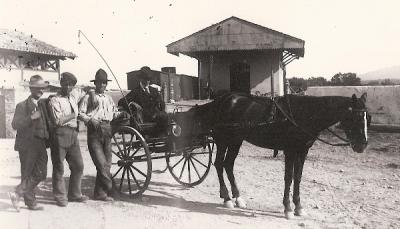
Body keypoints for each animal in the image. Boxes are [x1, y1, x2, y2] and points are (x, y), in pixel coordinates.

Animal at [177, 92, 370, 219]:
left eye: (368, 118)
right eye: (356, 118)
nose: (362, 145)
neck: (303, 114)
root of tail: (220, 101)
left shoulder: (303, 151)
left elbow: (298, 178)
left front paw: (299, 207)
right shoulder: (290, 150)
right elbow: (288, 178)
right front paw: (288, 208)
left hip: (236, 141)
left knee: (228, 165)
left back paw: (238, 198)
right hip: (224, 140)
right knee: (218, 165)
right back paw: (226, 198)